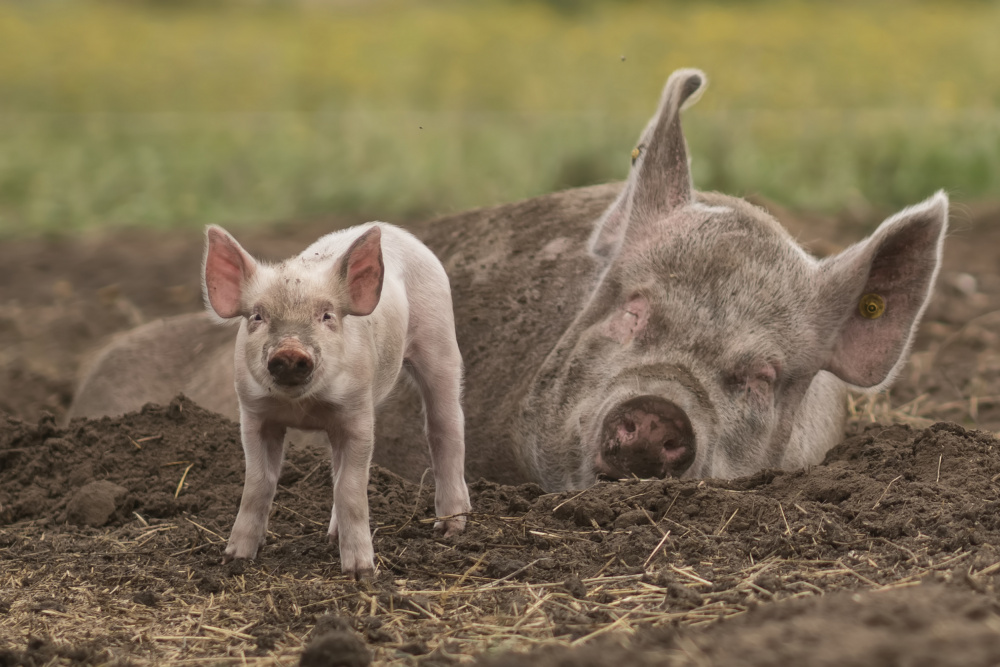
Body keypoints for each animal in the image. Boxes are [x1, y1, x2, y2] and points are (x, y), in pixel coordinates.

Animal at [205, 224, 470, 580]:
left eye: (327, 315)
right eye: (258, 316)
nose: (290, 351)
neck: (304, 408)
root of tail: (395, 230)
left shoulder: (356, 414)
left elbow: (350, 489)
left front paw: (361, 574)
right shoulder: (254, 414)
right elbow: (258, 484)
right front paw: (234, 560)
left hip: (439, 338)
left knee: (445, 427)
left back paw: (450, 529)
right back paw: (332, 537)